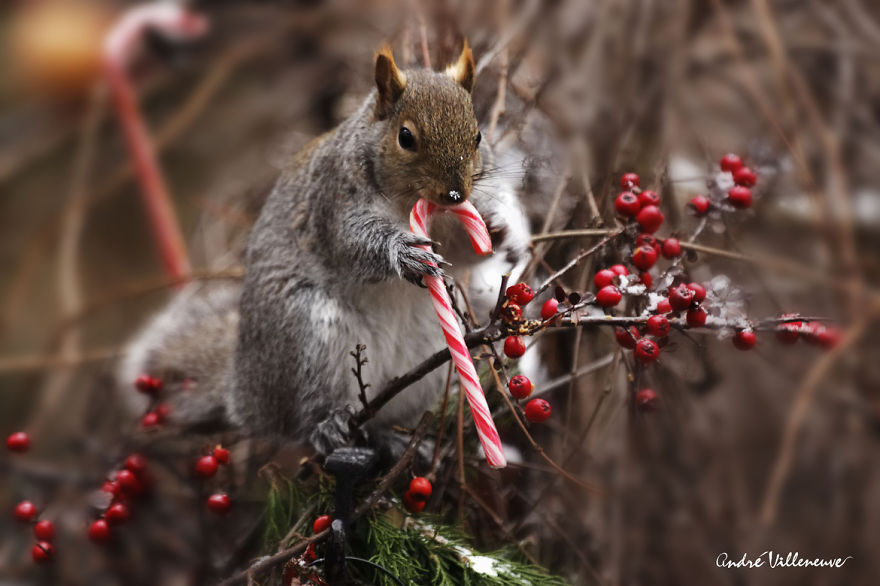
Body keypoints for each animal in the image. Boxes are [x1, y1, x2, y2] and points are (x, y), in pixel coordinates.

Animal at [120, 43, 532, 454]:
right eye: (406, 137)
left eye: (477, 135)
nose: (455, 194)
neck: (408, 203)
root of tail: (244, 394)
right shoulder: (333, 202)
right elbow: (353, 244)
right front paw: (406, 254)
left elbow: (464, 251)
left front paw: (502, 228)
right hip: (305, 336)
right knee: (300, 420)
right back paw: (327, 426)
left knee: (382, 417)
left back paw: (396, 438)